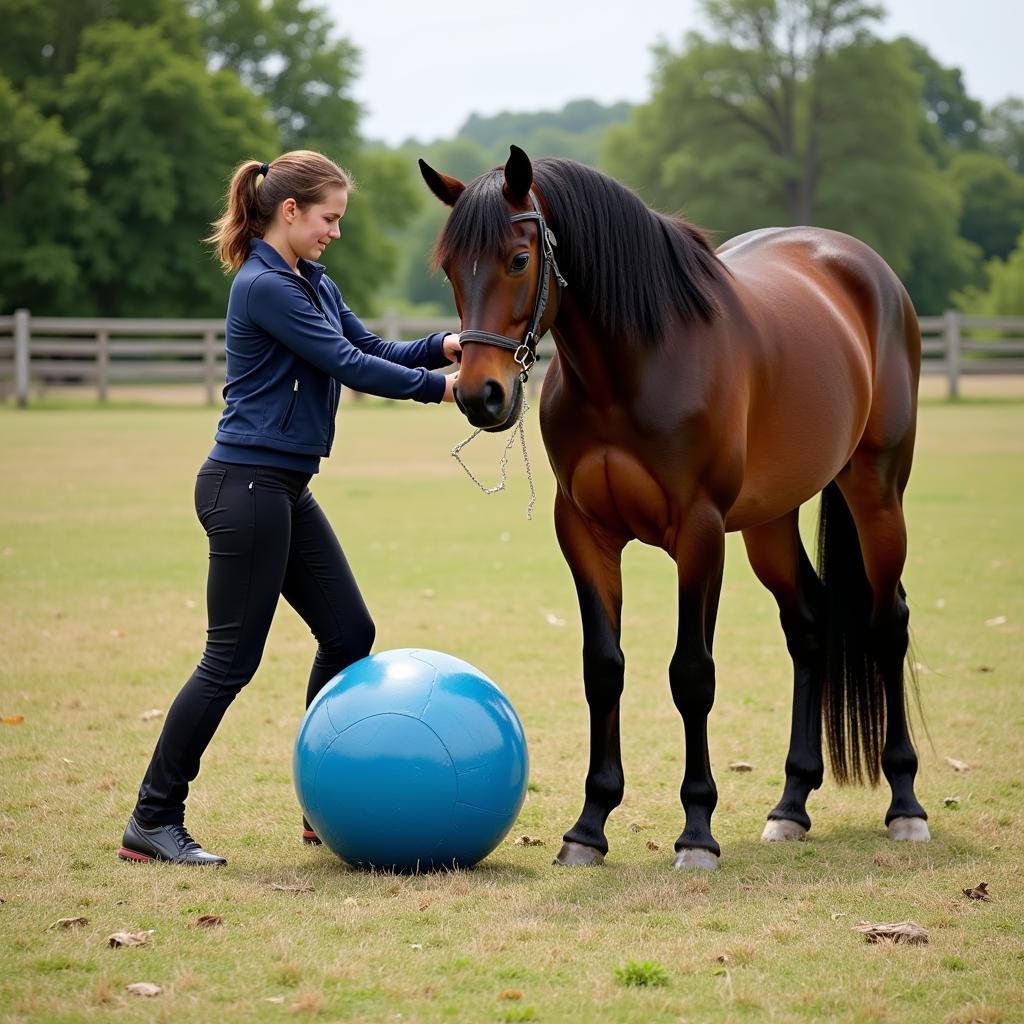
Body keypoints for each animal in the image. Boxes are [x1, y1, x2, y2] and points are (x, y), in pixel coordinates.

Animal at [415, 144, 929, 868]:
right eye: (450, 268)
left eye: (518, 259)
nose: (479, 396)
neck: (635, 363)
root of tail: (862, 266)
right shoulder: (584, 532)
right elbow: (603, 668)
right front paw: (588, 827)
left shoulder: (700, 533)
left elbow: (692, 674)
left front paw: (696, 832)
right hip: (770, 521)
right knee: (808, 624)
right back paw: (790, 806)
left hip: (876, 493)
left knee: (888, 623)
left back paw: (905, 804)